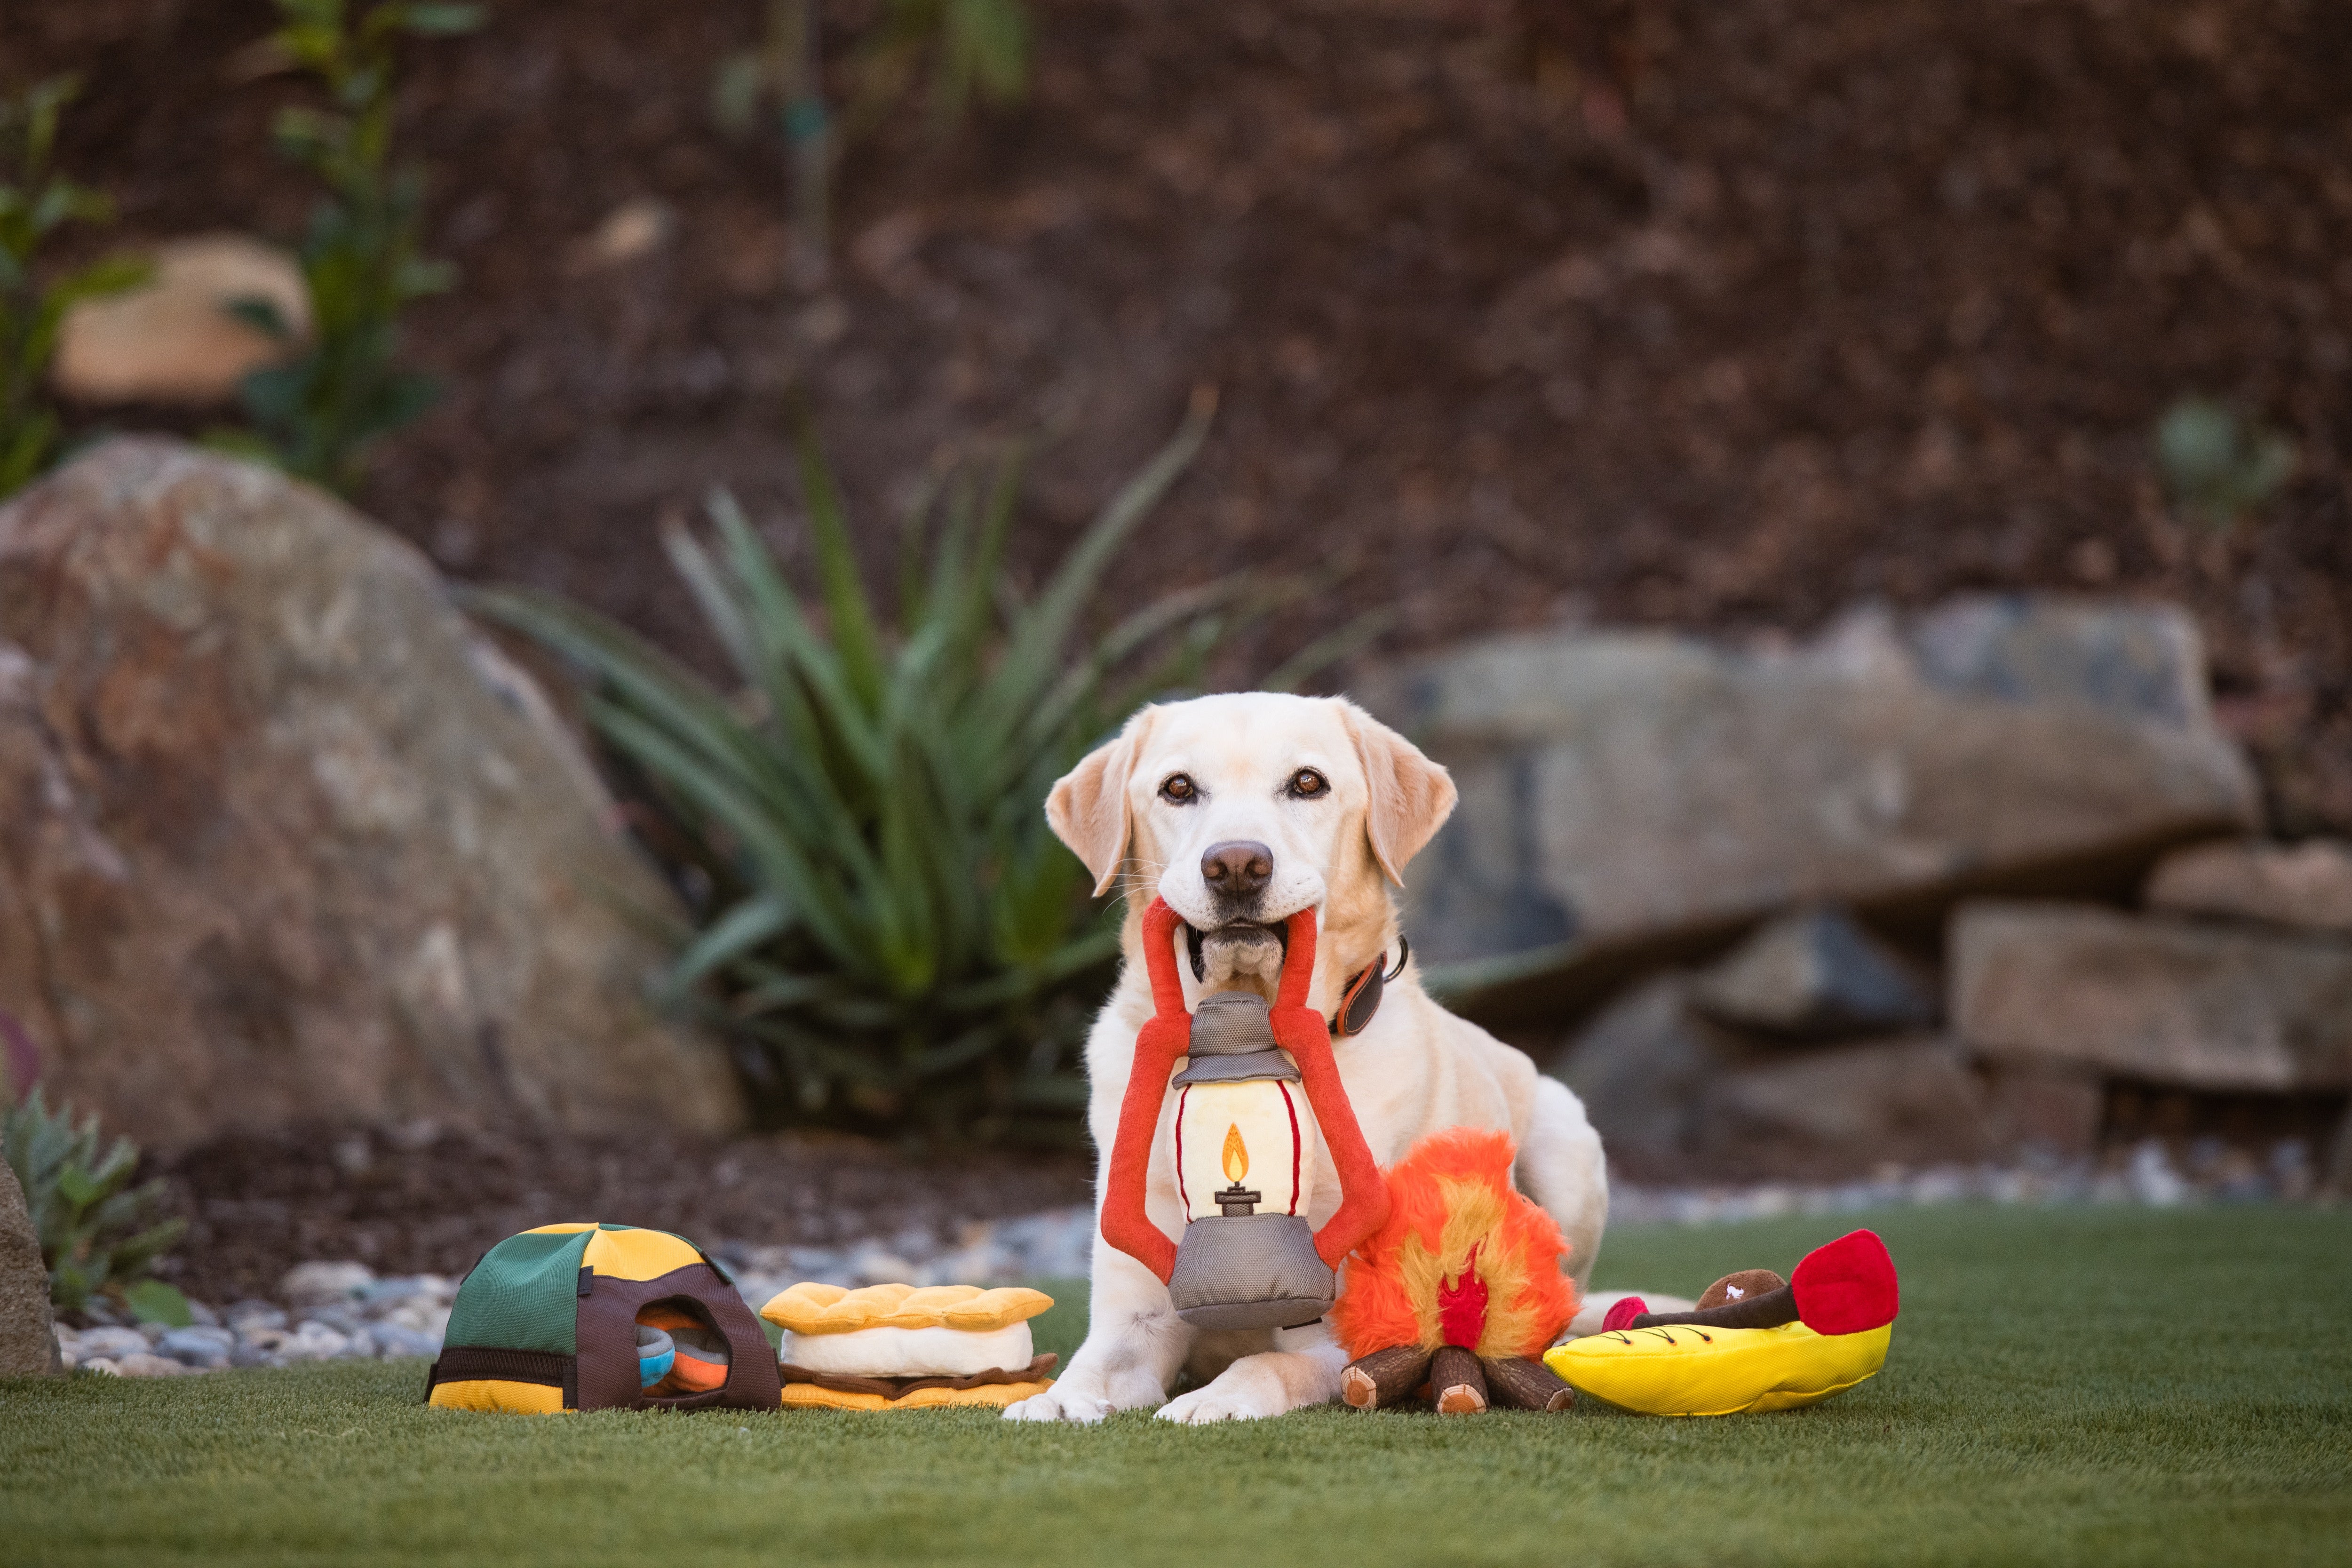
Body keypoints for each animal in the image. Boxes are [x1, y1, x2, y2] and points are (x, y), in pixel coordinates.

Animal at [1002, 691, 1628, 1429]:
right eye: (1178, 788)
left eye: (1307, 783)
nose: (1236, 865)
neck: (1243, 1037)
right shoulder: (1137, 1314)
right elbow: (1092, 1365)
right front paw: (1055, 1400)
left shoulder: (1344, 1337)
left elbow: (1268, 1363)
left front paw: (1215, 1398)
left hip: (1567, 1144)